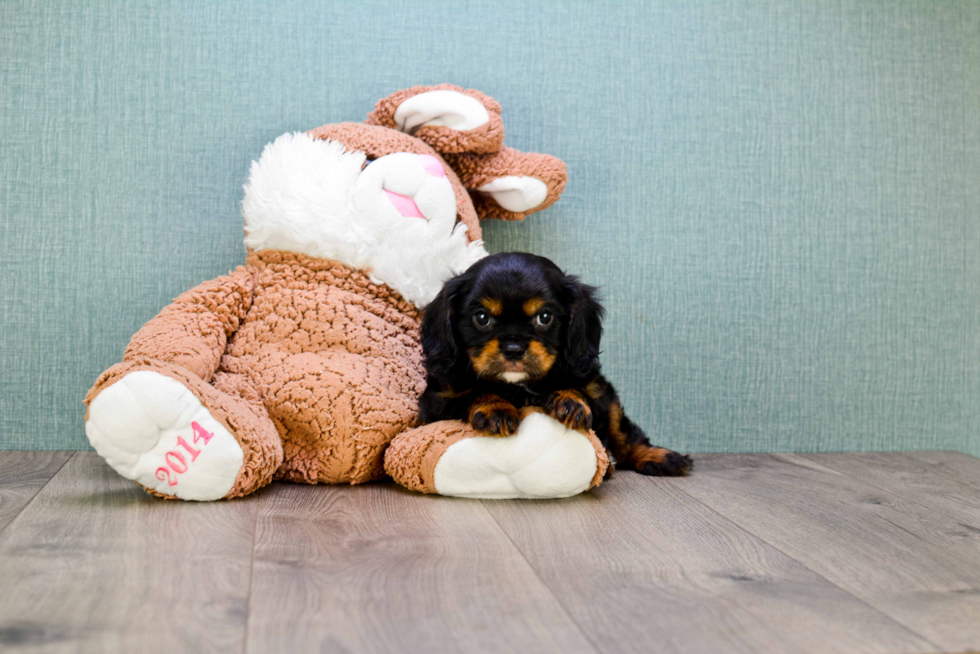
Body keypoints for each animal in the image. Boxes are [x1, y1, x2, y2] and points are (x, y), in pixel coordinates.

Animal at [418, 251, 692, 476]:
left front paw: (569, 401)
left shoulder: (594, 385)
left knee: (623, 435)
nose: (514, 349)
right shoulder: (438, 402)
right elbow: (474, 391)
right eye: (482, 318)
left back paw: (659, 457)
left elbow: (582, 393)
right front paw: (495, 407)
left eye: (544, 317)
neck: (518, 386)